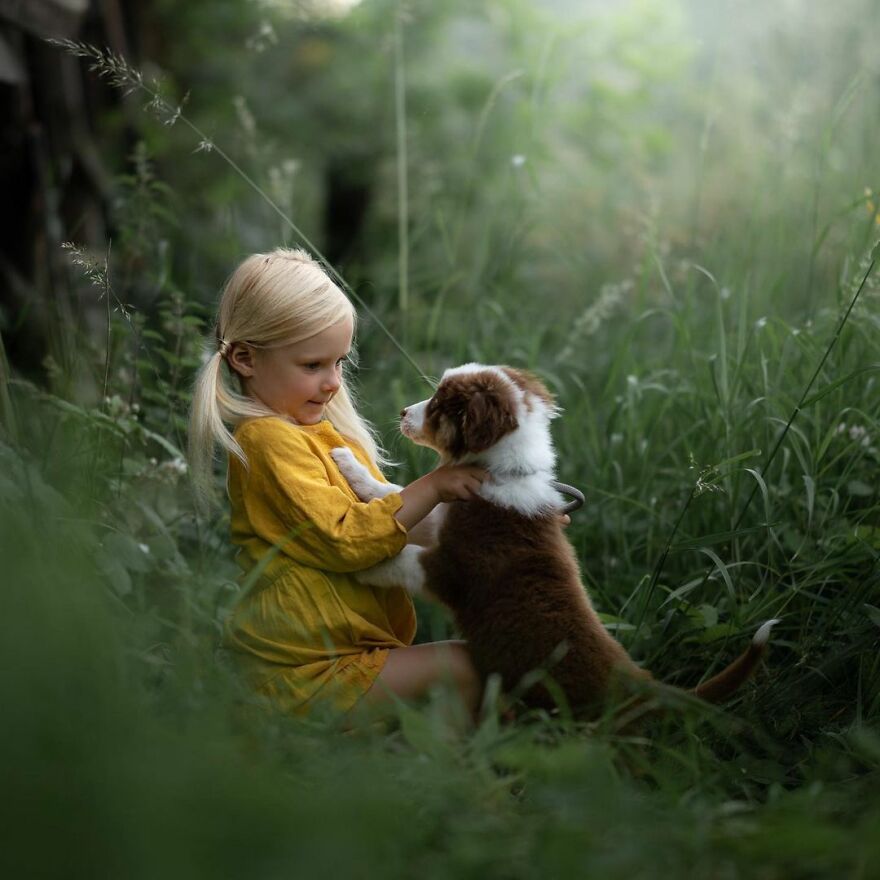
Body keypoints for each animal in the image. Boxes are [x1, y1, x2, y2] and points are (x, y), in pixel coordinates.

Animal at [332, 362, 776, 716]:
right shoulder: (443, 515)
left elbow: (405, 558)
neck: (501, 471)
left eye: (441, 404)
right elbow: (396, 496)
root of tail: (642, 685)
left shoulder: (458, 567)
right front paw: (349, 465)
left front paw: (365, 567)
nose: (403, 412)